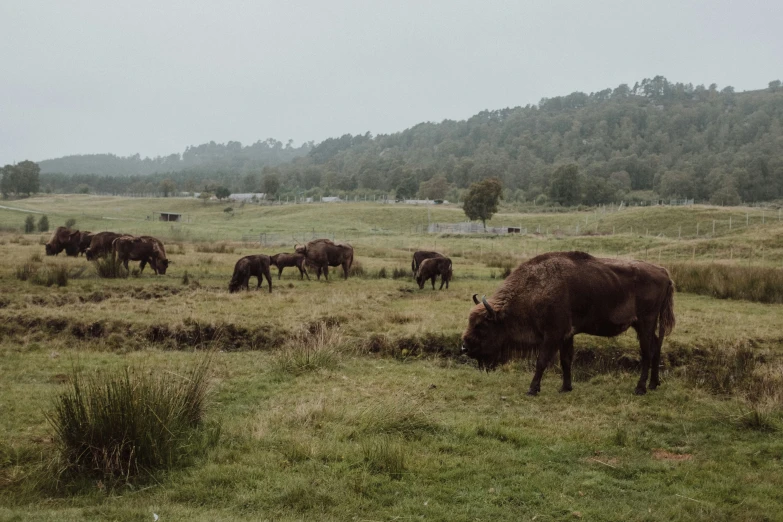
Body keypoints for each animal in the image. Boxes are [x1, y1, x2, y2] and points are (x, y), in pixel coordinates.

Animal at [462, 251, 676, 394]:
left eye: (481, 325)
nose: (465, 347)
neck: (534, 290)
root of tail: (664, 272)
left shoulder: (552, 335)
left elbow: (542, 361)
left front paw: (532, 389)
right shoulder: (567, 335)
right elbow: (566, 360)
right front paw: (566, 387)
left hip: (645, 323)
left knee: (647, 352)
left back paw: (640, 388)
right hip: (645, 325)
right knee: (656, 347)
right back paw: (654, 384)